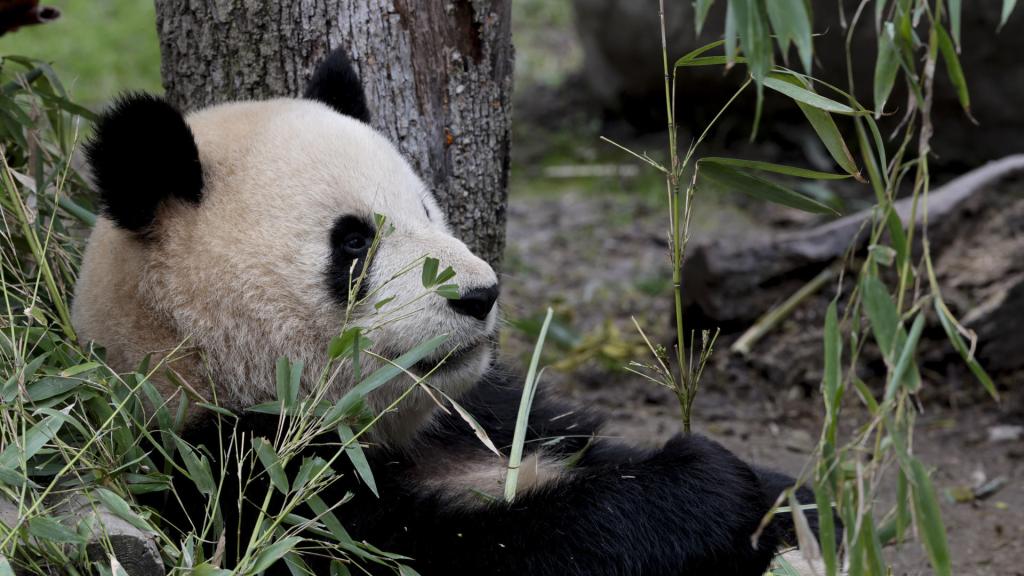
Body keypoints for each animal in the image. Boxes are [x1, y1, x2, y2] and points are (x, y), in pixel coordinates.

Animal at [72, 48, 825, 575]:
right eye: (354, 242)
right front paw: (710, 485)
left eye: (427, 209)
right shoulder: (239, 475)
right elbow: (472, 552)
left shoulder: (490, 415)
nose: (479, 294)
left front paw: (784, 501)